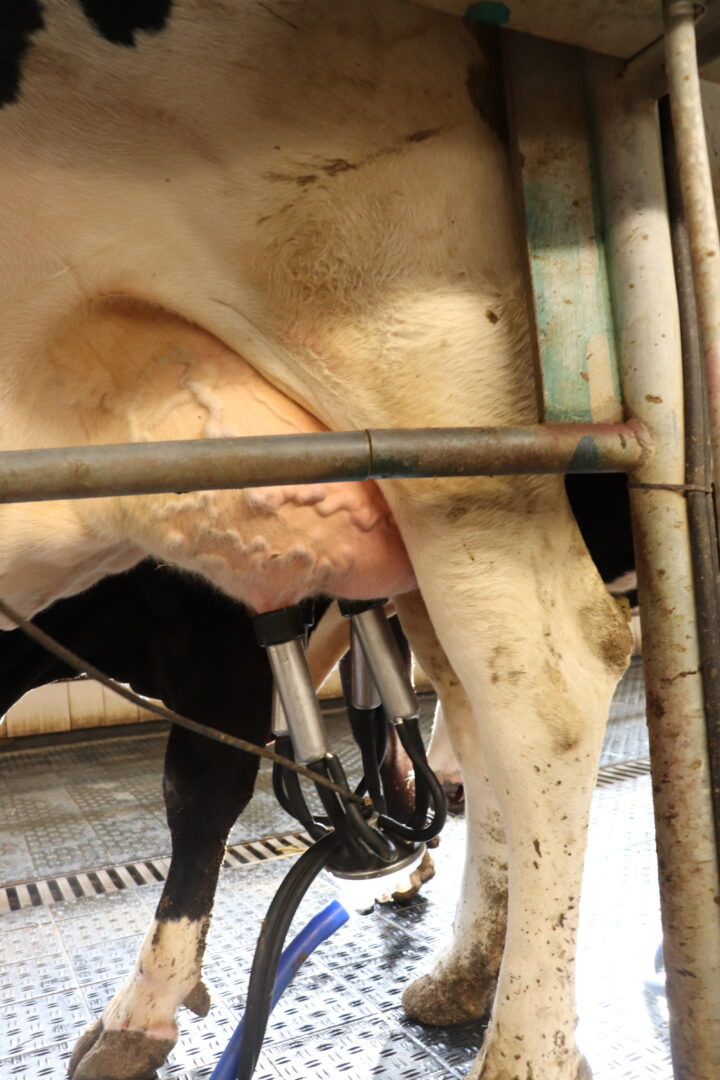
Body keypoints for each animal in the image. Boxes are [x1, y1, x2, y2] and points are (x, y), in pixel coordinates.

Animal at [0, 2, 632, 1079]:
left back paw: (525, 1047)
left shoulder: (215, 625)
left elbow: (199, 792)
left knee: (547, 684)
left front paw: (140, 1013)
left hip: (421, 356)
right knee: (476, 708)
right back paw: (465, 970)